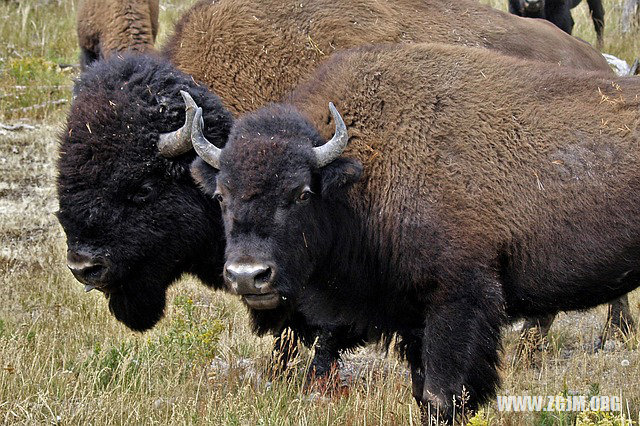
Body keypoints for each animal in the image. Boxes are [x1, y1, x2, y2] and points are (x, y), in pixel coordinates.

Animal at [189, 41, 640, 422]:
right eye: (221, 195)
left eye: (301, 193)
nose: (248, 276)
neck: (360, 175)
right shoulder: (412, 318)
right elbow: (422, 391)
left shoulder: (458, 301)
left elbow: (442, 396)